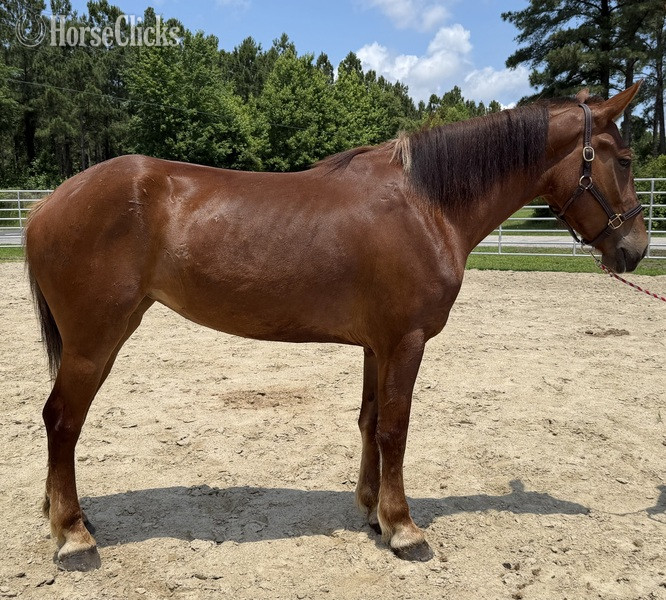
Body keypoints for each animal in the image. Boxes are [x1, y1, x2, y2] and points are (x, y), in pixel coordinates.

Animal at [25, 83, 647, 571]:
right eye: (624, 159)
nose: (636, 249)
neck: (427, 204)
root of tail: (46, 204)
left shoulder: (378, 345)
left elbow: (370, 422)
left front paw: (373, 513)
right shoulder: (406, 342)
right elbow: (396, 428)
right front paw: (404, 529)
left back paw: (66, 517)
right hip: (94, 342)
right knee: (62, 421)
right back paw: (74, 537)